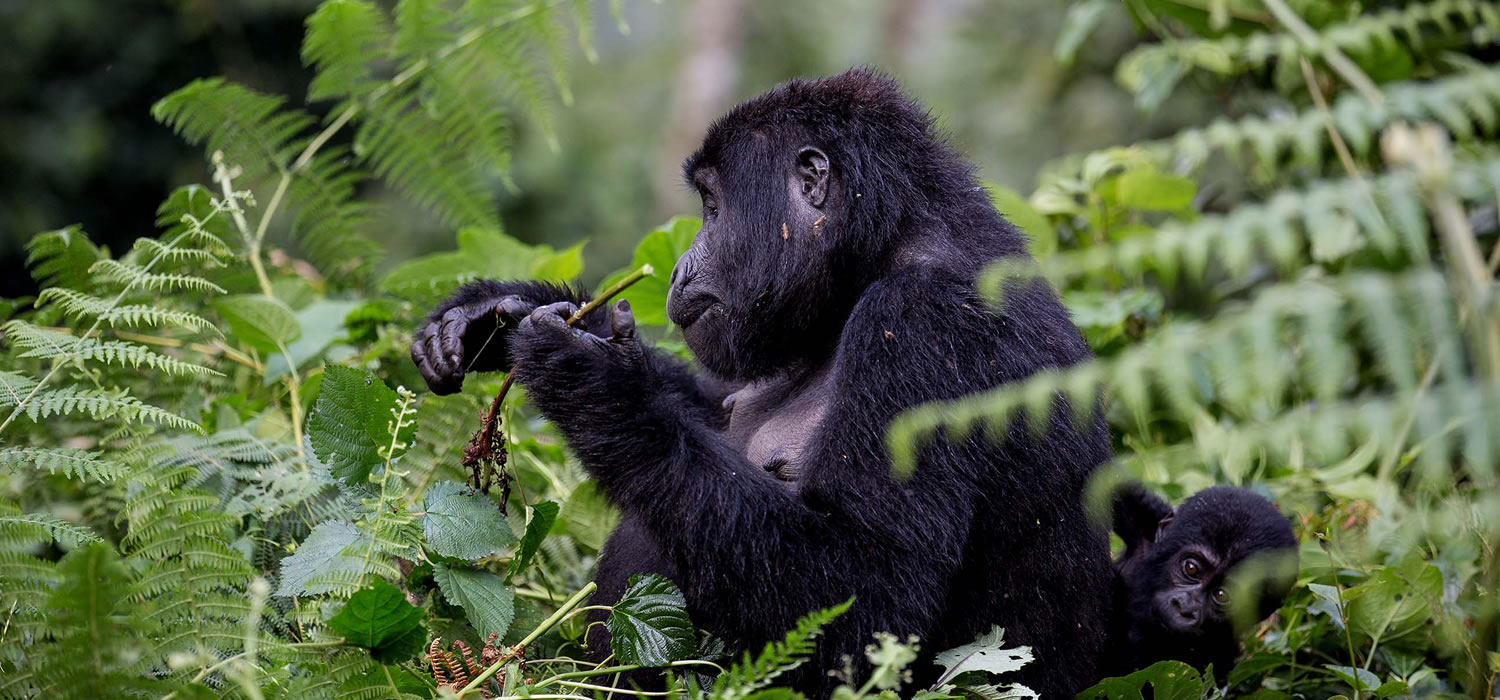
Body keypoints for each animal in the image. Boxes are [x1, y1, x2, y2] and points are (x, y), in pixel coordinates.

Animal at [411, 69, 1116, 695]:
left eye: (712, 205)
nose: (677, 269)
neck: (881, 247)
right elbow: (712, 407)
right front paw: (496, 312)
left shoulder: (923, 324)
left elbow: (870, 603)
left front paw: (593, 382)